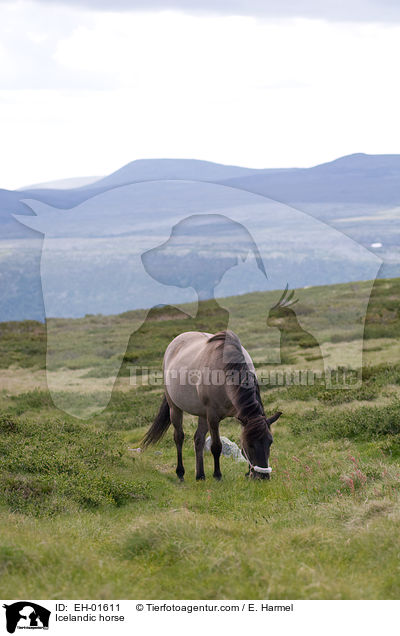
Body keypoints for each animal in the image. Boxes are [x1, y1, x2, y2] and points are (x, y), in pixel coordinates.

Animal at [142, 330, 282, 480]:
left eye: (270, 442)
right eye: (250, 444)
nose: (263, 477)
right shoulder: (213, 417)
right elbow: (216, 446)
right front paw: (217, 475)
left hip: (202, 414)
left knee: (198, 439)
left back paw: (200, 475)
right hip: (175, 408)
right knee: (178, 437)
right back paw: (180, 473)